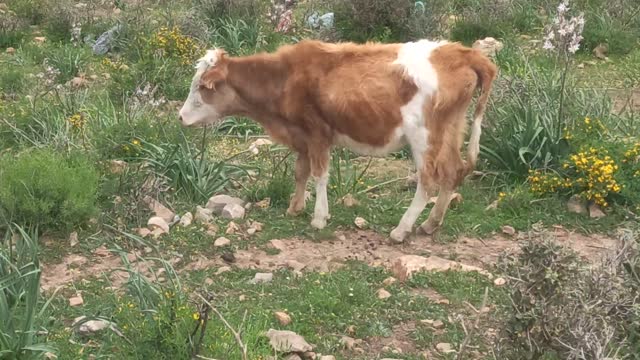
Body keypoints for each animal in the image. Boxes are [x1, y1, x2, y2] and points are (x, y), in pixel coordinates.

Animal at [178, 38, 498, 243]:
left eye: (202, 87)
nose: (180, 117)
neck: (284, 78)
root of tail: (463, 53)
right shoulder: (303, 136)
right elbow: (301, 171)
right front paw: (295, 208)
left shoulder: (317, 132)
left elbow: (320, 174)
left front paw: (319, 217)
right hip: (452, 130)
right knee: (453, 172)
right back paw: (431, 224)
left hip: (424, 135)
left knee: (429, 180)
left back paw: (401, 230)